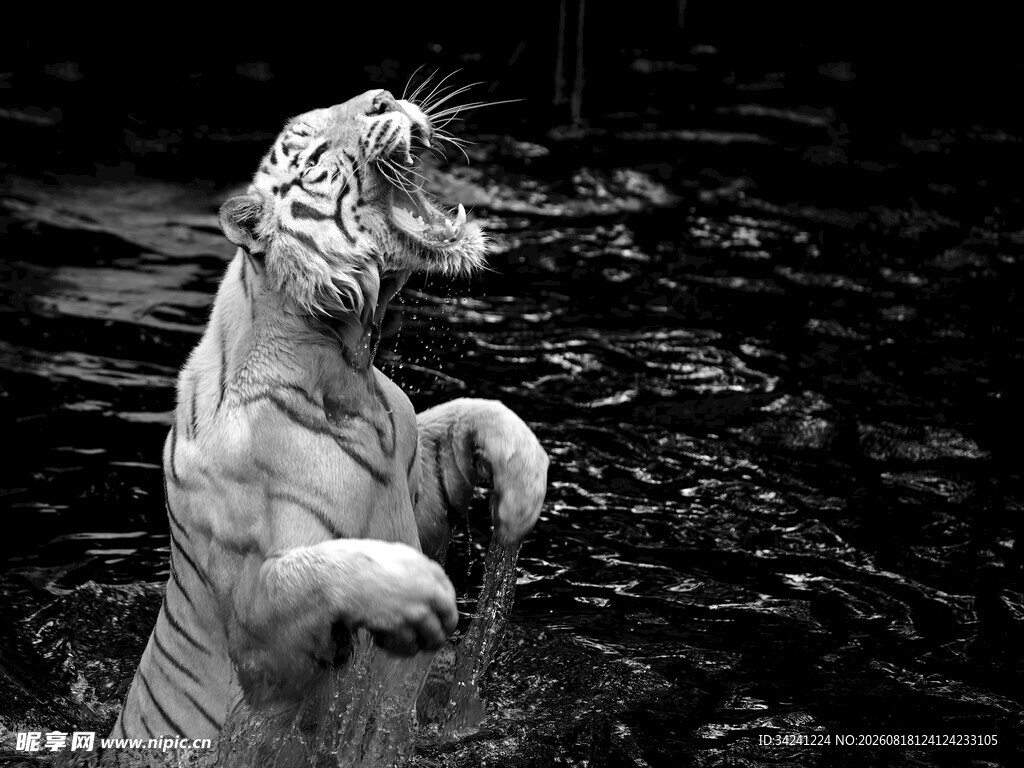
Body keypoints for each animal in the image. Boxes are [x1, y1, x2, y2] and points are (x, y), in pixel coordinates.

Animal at [109, 88, 549, 752]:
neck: (345, 366)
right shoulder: (261, 650)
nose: (385, 97)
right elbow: (309, 575)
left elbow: (472, 413)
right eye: (315, 155)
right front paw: (422, 597)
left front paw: (521, 494)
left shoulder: (409, 473)